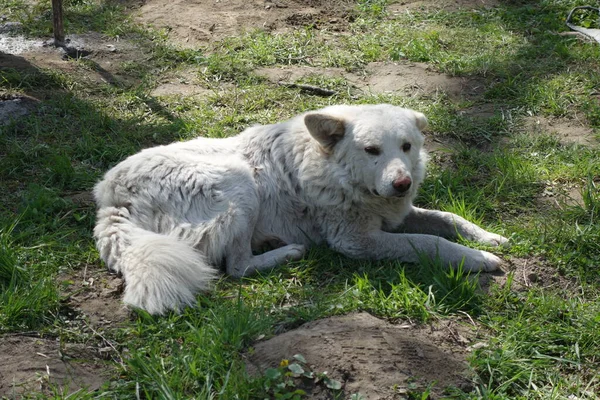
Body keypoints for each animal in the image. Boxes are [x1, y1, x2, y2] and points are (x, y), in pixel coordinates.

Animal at [94, 104, 506, 316]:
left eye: (406, 146)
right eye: (372, 151)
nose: (402, 184)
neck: (337, 174)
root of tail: (112, 198)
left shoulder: (394, 216)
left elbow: (446, 219)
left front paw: (489, 237)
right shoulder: (356, 241)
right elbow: (427, 242)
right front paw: (478, 259)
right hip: (240, 183)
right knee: (236, 267)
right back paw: (289, 251)